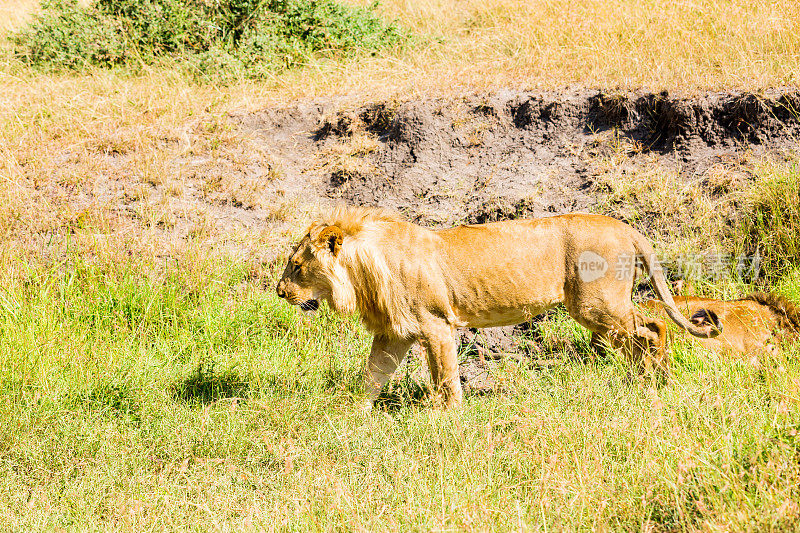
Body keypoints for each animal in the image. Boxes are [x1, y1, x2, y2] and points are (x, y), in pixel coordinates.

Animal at [276, 206, 720, 410]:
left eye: (296, 265)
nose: (280, 292)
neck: (363, 272)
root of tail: (626, 227)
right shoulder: (394, 333)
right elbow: (373, 375)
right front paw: (352, 411)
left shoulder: (436, 326)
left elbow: (445, 376)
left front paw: (447, 418)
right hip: (600, 310)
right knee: (641, 335)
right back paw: (643, 381)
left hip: (597, 304)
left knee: (653, 328)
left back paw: (656, 381)